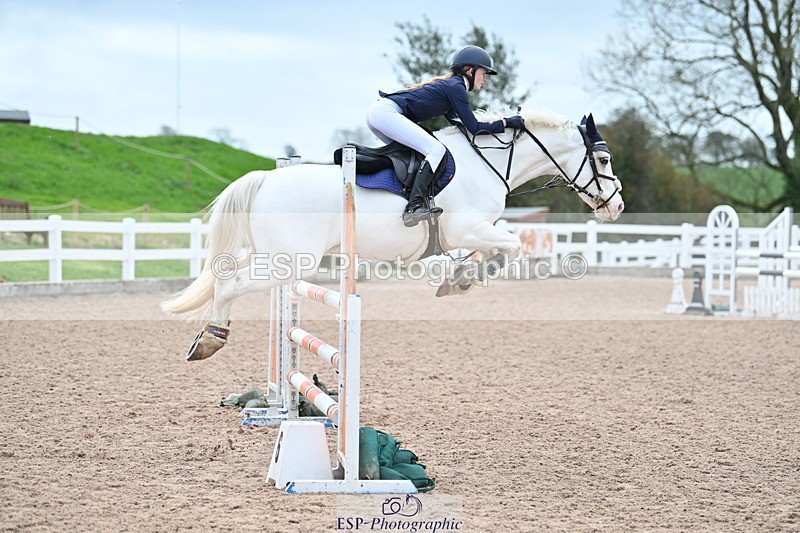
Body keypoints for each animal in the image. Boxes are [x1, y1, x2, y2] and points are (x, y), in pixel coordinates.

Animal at [161, 109, 624, 360]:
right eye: (602, 159)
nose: (617, 206)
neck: (489, 162)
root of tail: (265, 180)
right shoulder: (469, 228)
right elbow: (508, 247)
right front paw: (463, 280)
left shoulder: (470, 233)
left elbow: (496, 247)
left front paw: (458, 277)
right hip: (287, 263)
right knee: (229, 284)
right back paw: (211, 340)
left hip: (271, 257)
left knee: (224, 275)